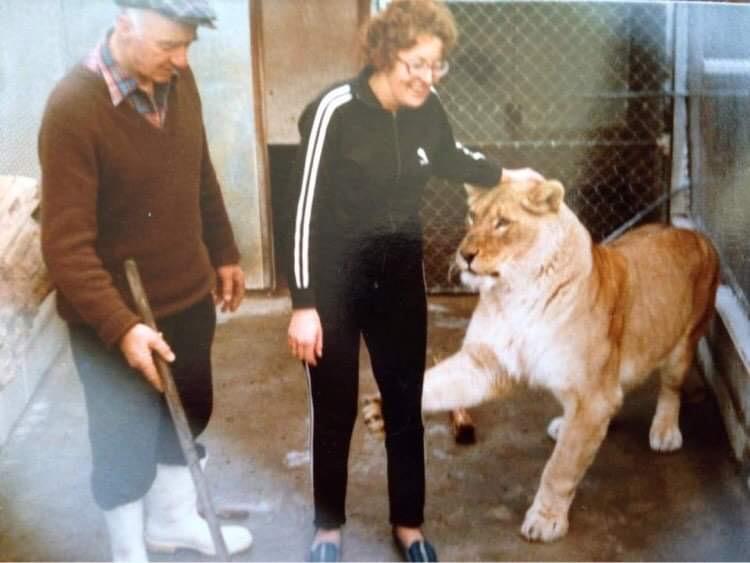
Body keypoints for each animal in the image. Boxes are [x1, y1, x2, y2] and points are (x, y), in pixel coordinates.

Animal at [420, 178, 720, 544]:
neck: (515, 291)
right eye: (471, 216)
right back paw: (567, 423)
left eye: (502, 223)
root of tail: (692, 234)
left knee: (670, 389)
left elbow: (560, 468)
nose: (464, 256)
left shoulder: (592, 396)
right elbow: (440, 383)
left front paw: (546, 519)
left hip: (683, 344)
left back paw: (664, 431)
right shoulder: (489, 362)